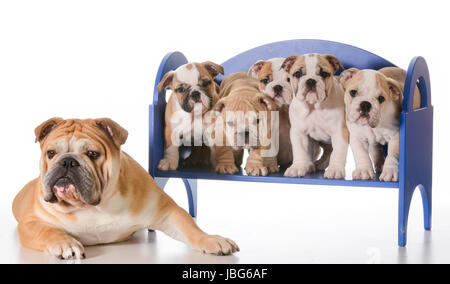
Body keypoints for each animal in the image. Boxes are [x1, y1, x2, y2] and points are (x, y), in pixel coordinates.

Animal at [12, 117, 239, 260]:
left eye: (93, 154)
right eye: (51, 153)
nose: (67, 161)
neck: (95, 206)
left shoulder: (167, 212)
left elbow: (190, 227)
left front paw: (212, 240)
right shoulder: (31, 222)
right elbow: (48, 231)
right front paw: (65, 244)